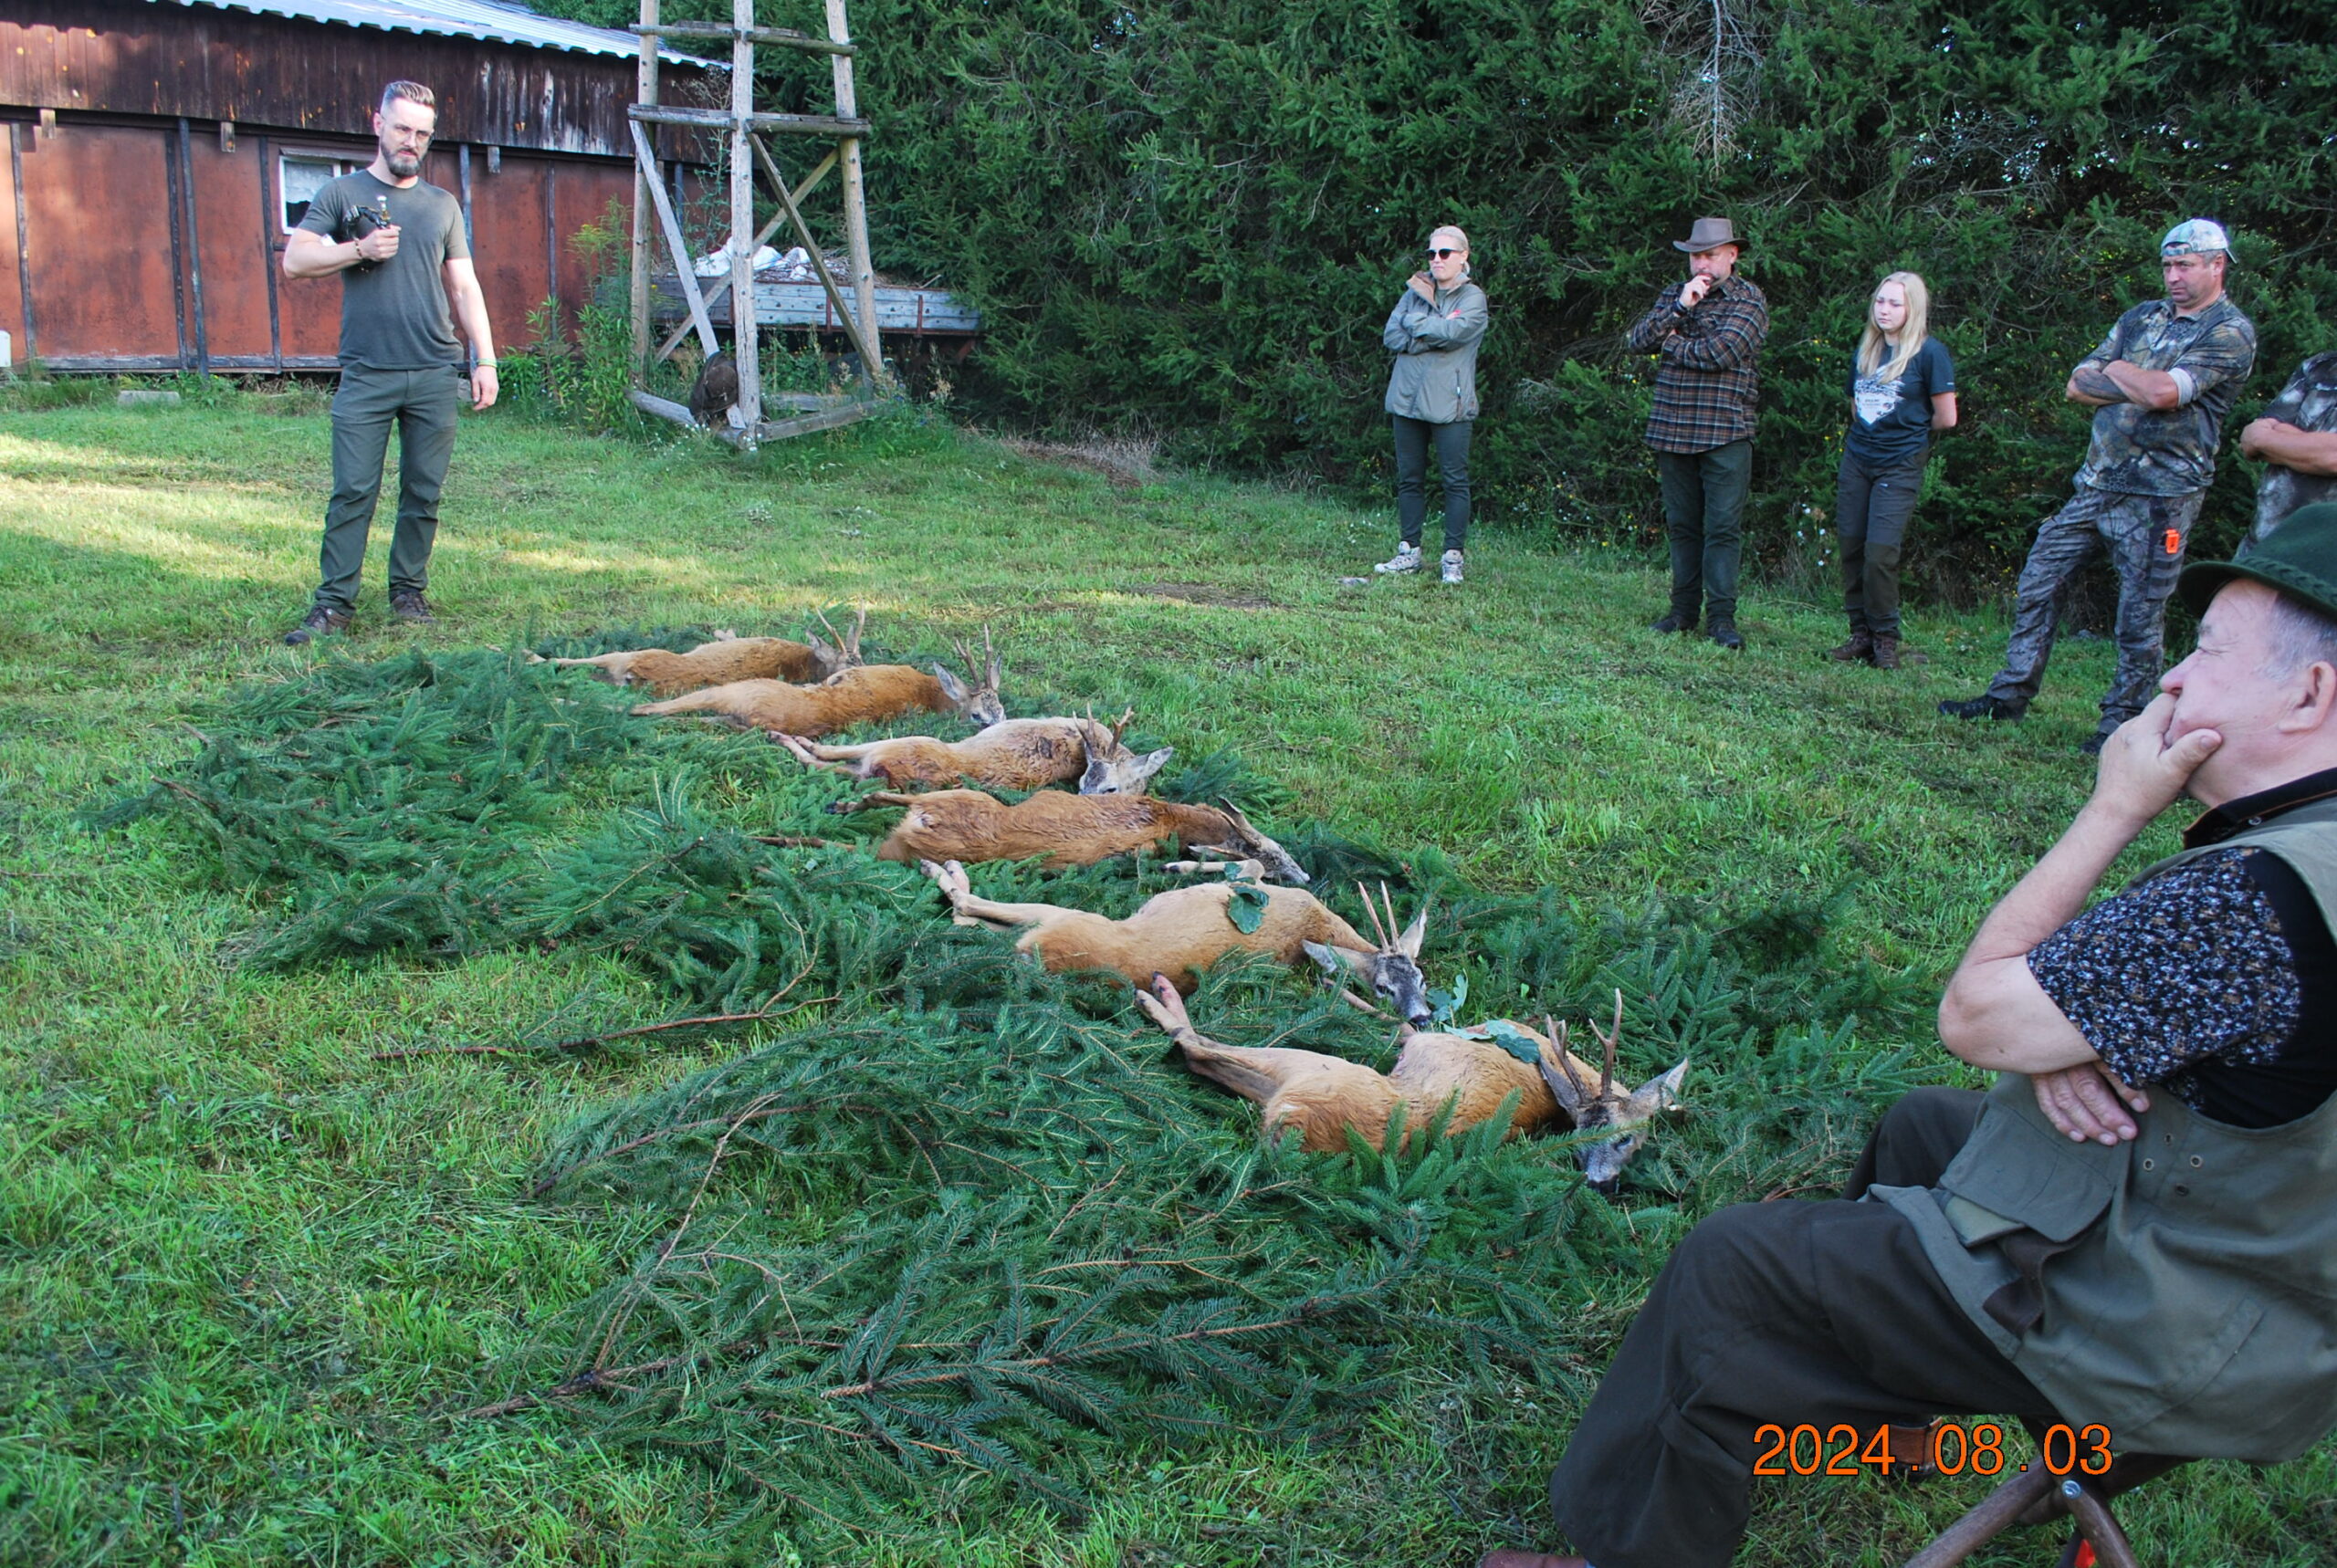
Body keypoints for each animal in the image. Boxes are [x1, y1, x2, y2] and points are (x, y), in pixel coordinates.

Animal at [530, 609, 865, 697]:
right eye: (855, 662)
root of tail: (635, 676)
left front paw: (722, 630)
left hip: (631, 654)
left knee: (567, 661)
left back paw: (529, 655)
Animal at [630, 625, 1007, 739]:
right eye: (984, 713)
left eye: (998, 714)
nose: (996, 729)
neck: (929, 692)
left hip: (739, 688)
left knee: (654, 706)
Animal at [924, 861, 1432, 1023]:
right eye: (1386, 987)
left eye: (1420, 980)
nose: (1423, 1017)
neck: (1315, 925)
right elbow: (1252, 866)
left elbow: (1250, 867)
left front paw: (1179, 866)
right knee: (970, 922)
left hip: (1064, 919)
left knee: (969, 910)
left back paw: (944, 869)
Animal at [1136, 982, 1688, 1191]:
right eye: (1581, 1144)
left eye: (1626, 1141)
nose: (1601, 1184)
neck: (1551, 1059)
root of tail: (1291, 1128)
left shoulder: (1434, 1041)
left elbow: (1401, 1024)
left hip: (1314, 1071)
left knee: (1196, 1047)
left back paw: (1157, 996)